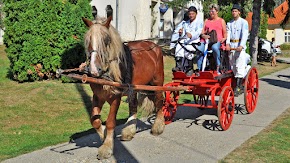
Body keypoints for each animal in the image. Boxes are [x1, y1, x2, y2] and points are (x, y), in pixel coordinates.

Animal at [81, 16, 165, 159]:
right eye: (88, 40)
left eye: (106, 40)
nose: (94, 70)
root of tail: (154, 46)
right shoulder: (97, 96)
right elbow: (95, 120)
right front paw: (104, 135)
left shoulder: (116, 97)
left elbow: (110, 122)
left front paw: (107, 147)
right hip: (134, 88)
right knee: (133, 106)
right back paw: (129, 131)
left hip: (156, 84)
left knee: (160, 102)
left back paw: (157, 127)